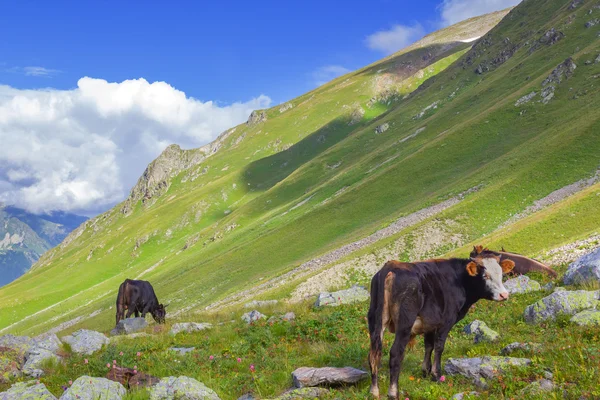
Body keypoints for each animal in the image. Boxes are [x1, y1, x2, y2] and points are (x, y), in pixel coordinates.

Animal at [368, 248, 512, 398]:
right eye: (485, 276)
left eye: (501, 273)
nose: (504, 295)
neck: (459, 280)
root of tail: (390, 268)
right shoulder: (446, 322)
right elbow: (439, 347)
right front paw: (436, 375)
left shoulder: (429, 324)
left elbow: (429, 346)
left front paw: (425, 371)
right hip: (405, 323)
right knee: (395, 353)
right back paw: (393, 393)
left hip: (375, 321)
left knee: (373, 355)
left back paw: (374, 391)